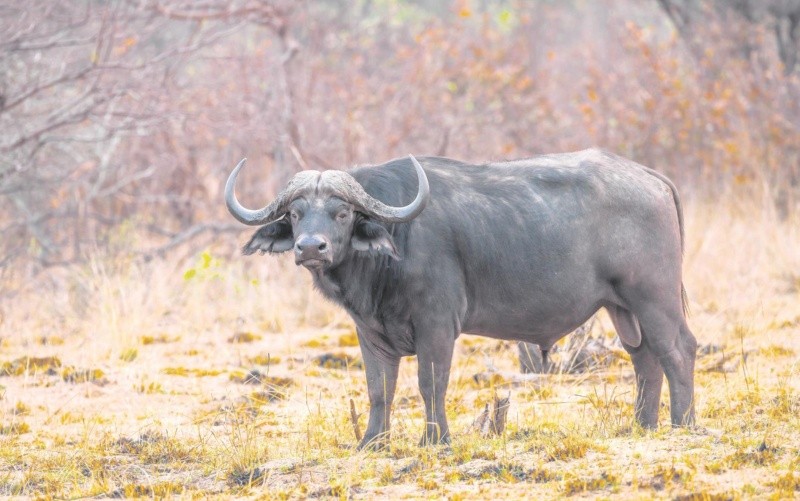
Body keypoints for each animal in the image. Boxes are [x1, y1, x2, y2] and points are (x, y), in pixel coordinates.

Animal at [224, 148, 697, 448]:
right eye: (295, 213)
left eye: (341, 212)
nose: (310, 248)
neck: (395, 246)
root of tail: (651, 178)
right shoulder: (370, 333)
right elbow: (380, 389)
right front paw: (372, 442)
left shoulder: (437, 325)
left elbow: (430, 383)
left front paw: (435, 440)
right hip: (622, 308)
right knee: (644, 358)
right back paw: (643, 426)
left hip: (653, 298)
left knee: (678, 350)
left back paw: (683, 424)